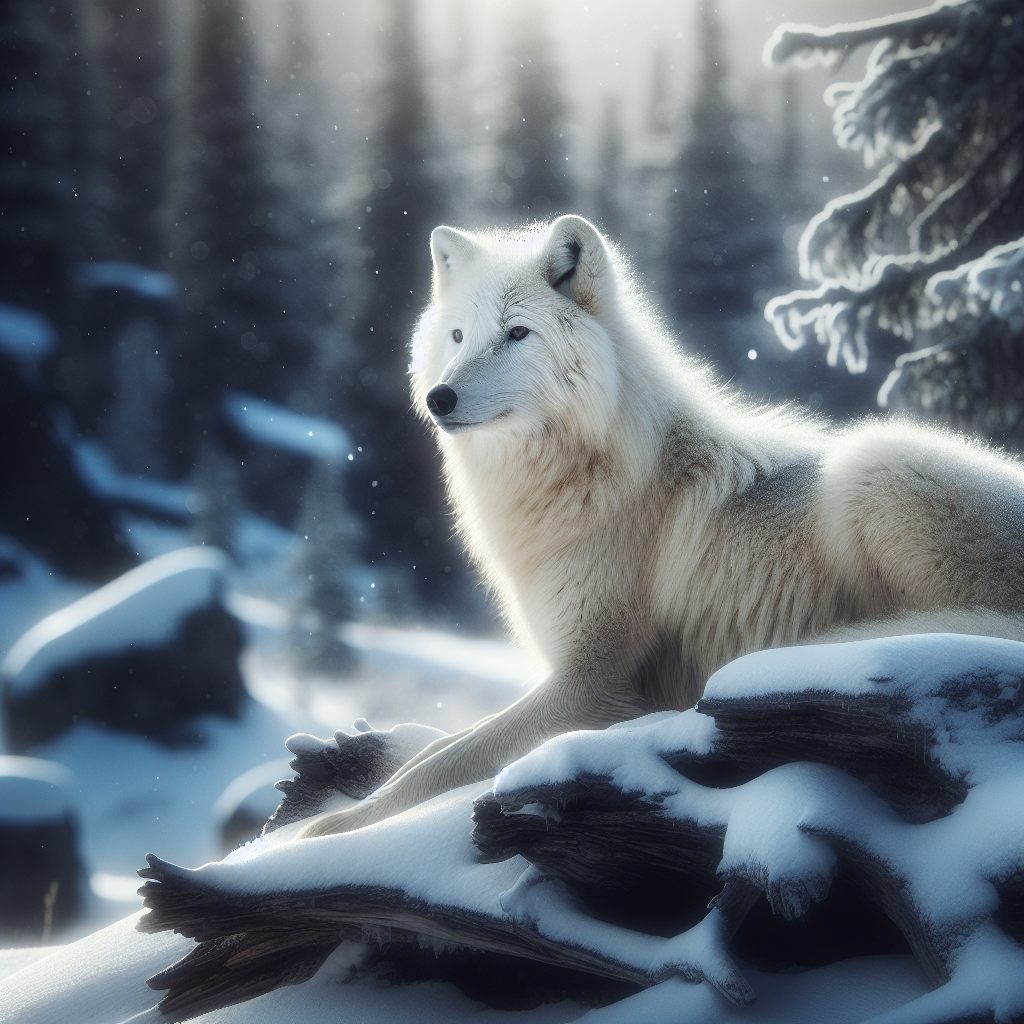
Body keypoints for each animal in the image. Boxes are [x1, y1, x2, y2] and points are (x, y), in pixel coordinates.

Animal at [299, 215, 1024, 839]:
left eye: (517, 334)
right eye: (456, 337)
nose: (439, 398)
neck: (583, 473)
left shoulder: (591, 682)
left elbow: (441, 768)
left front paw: (326, 830)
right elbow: (436, 751)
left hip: (872, 460)